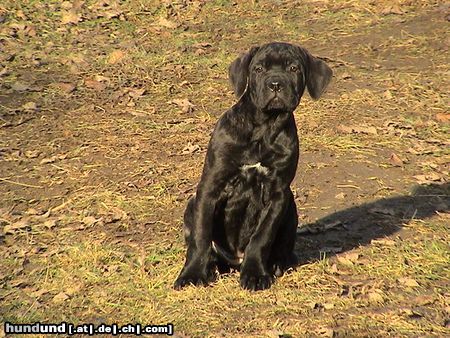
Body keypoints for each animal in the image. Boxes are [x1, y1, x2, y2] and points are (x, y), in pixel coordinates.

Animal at [174, 42, 332, 290]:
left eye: (294, 68)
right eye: (258, 69)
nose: (275, 84)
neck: (264, 128)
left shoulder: (278, 194)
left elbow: (261, 237)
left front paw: (255, 273)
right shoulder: (210, 187)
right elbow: (201, 235)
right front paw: (192, 274)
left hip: (290, 206)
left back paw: (277, 264)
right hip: (192, 204)